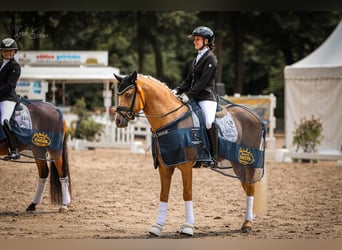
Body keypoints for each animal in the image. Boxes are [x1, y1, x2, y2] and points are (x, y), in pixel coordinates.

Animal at [114, 72, 268, 236]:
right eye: (118, 94)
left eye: (129, 94)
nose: (118, 121)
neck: (171, 120)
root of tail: (255, 116)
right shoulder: (165, 166)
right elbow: (164, 194)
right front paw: (157, 226)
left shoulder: (186, 166)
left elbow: (187, 193)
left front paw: (188, 226)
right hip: (238, 164)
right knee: (247, 186)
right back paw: (250, 218)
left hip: (245, 163)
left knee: (250, 188)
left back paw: (247, 224)